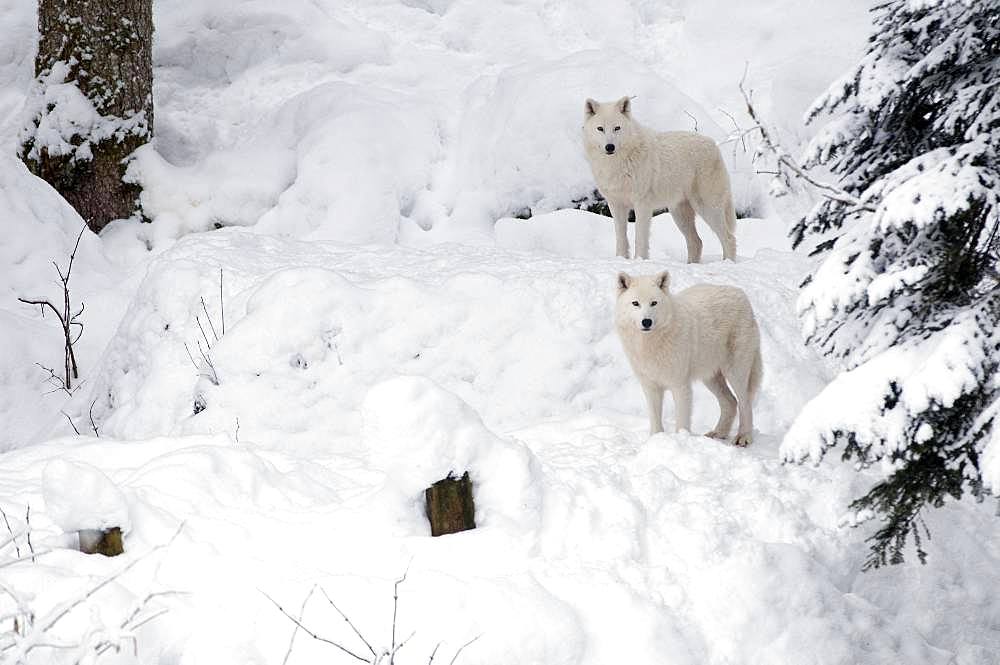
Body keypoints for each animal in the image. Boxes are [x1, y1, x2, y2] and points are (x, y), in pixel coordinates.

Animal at [584, 96, 740, 262]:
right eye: (600, 129)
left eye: (617, 128)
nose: (610, 147)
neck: (617, 164)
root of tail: (714, 145)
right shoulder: (616, 205)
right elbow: (621, 238)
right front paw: (621, 259)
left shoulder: (642, 205)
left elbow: (640, 238)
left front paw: (640, 260)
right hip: (679, 213)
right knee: (697, 242)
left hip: (707, 208)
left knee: (729, 238)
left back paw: (727, 263)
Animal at [612, 270, 760, 446]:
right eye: (635, 303)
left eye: (654, 303)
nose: (646, 321)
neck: (650, 344)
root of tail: (741, 293)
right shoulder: (650, 386)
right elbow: (655, 420)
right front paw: (655, 441)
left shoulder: (680, 386)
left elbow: (682, 421)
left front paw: (681, 441)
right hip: (710, 377)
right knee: (731, 402)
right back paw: (718, 433)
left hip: (735, 373)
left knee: (745, 402)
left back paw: (744, 437)